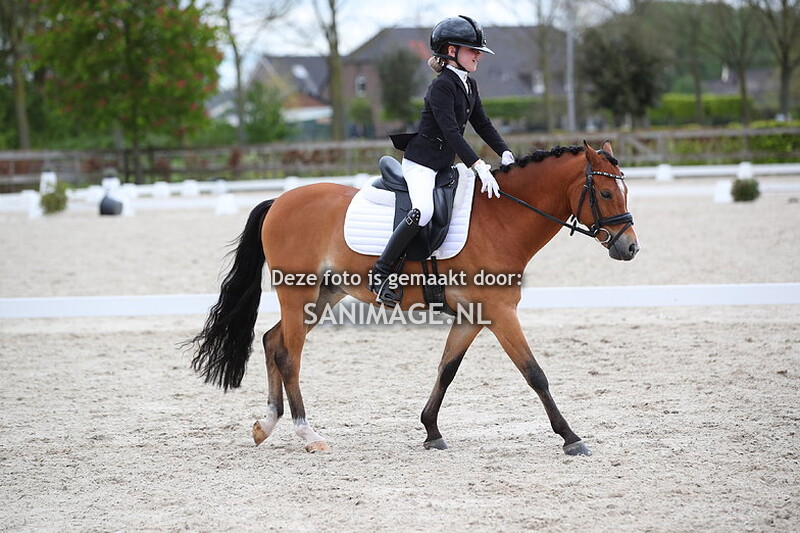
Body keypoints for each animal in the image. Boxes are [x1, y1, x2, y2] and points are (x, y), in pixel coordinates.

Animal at [188, 140, 639, 456]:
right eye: (604, 194)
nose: (629, 247)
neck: (502, 220)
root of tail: (279, 200)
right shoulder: (500, 313)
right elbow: (535, 374)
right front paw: (570, 436)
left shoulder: (473, 316)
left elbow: (446, 370)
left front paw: (431, 431)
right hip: (298, 292)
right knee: (288, 355)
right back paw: (307, 433)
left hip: (323, 295)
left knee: (271, 340)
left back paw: (266, 425)